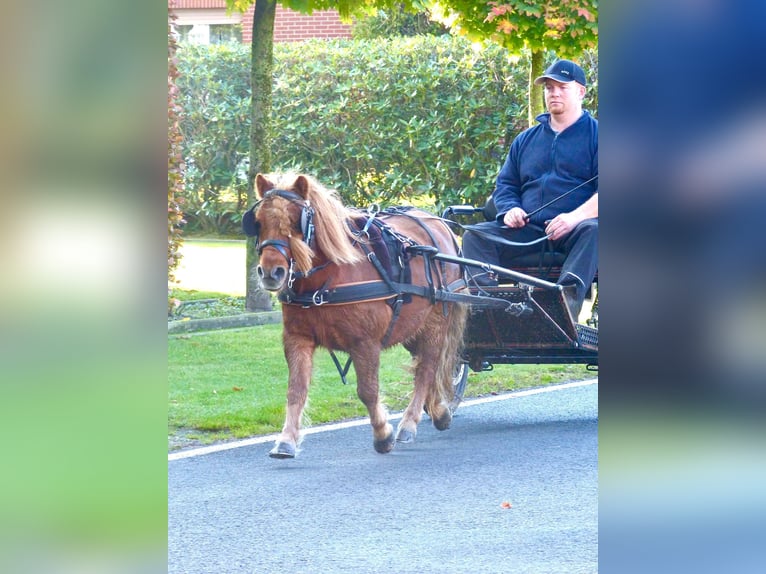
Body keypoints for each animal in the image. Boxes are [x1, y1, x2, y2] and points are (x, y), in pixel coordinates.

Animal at [249, 172, 472, 460]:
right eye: (258, 221)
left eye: (298, 220)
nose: (270, 272)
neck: (328, 278)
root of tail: (441, 227)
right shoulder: (297, 338)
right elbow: (296, 390)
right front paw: (286, 439)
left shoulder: (365, 343)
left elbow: (367, 391)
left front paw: (383, 434)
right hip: (413, 328)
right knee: (425, 365)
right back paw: (439, 410)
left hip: (435, 322)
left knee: (427, 369)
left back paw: (410, 422)